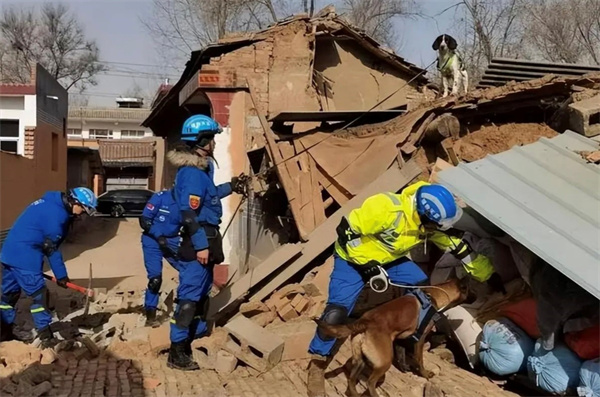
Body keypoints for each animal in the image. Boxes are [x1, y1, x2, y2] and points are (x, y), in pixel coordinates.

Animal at [316, 278, 466, 396]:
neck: (433, 295)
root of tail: (365, 322)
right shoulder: (420, 338)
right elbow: (419, 359)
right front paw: (424, 373)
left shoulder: (400, 338)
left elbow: (401, 354)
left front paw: (404, 367)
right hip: (384, 362)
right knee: (370, 382)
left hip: (360, 360)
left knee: (352, 381)